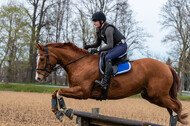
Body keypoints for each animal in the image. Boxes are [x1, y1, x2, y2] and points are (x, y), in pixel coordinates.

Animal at [35, 42, 187, 124]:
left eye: (42, 59)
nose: (38, 78)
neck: (79, 63)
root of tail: (167, 67)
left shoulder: (82, 91)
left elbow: (59, 92)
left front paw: (66, 111)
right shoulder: (74, 89)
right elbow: (55, 93)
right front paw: (57, 112)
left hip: (159, 95)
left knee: (176, 106)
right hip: (151, 96)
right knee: (174, 107)